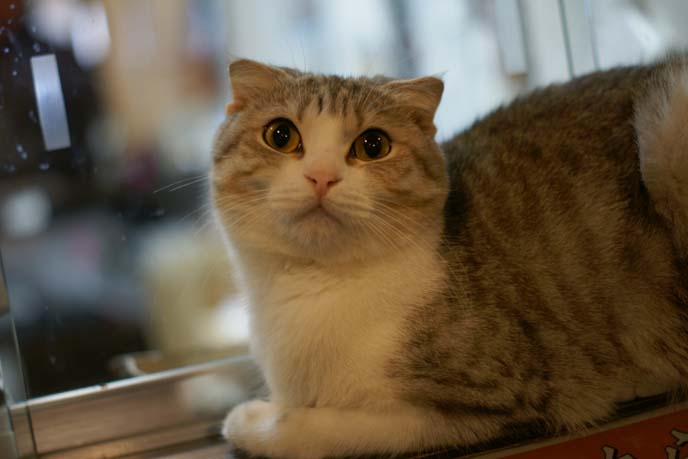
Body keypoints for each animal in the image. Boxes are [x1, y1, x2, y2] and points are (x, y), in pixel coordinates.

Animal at [210, 55, 688, 458]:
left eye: (372, 145)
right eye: (280, 135)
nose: (322, 176)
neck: (314, 290)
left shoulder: (490, 398)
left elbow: (328, 428)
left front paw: (253, 421)